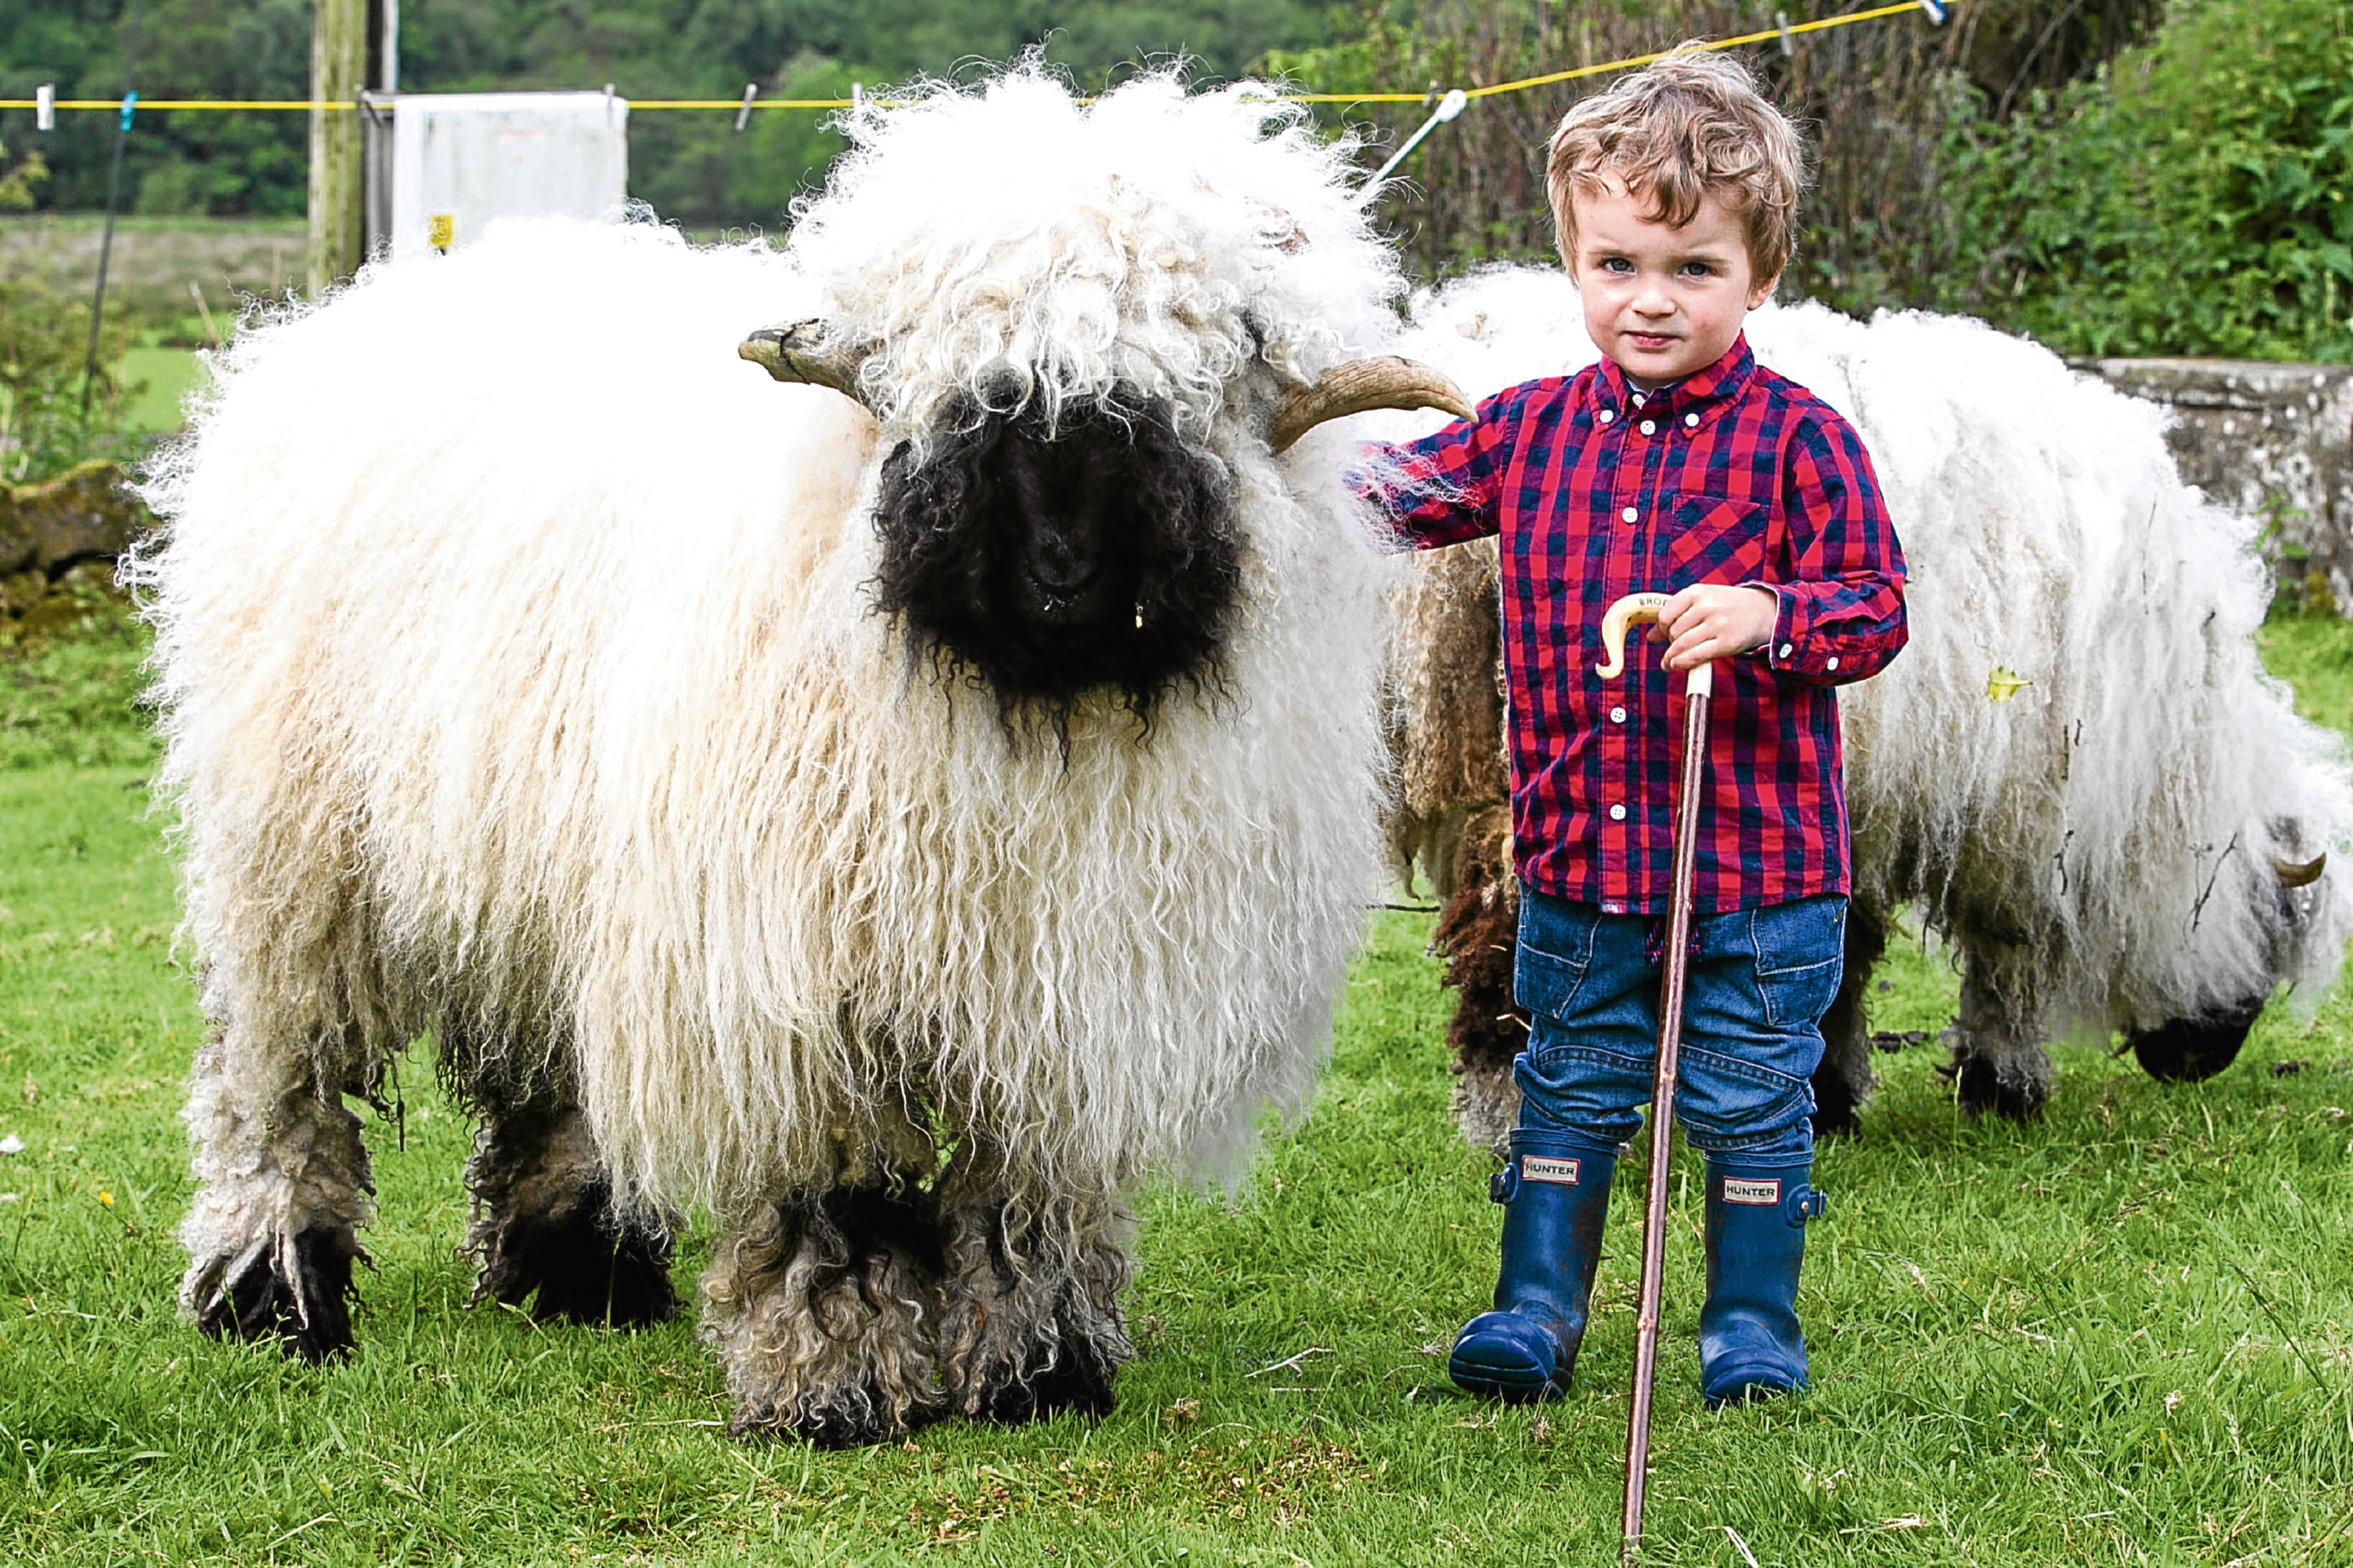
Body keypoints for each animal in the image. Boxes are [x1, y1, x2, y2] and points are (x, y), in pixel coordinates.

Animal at [129, 70, 1459, 1440]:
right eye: (961, 386)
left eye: (1198, 374)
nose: (1060, 569)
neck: (1028, 705)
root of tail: (378, 293)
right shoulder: (798, 975)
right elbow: (837, 1197)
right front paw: (834, 1381)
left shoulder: (1050, 988)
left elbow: (1026, 1195)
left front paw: (1035, 1371)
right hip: (297, 858)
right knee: (271, 1079)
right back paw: (273, 1291)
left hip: (535, 850)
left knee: (548, 1065)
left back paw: (579, 1272)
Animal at [1374, 268, 2353, 1144]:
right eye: (2278, 929)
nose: (2202, 1059)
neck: (2178, 764)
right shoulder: (2026, 819)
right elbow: (2008, 961)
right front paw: (2004, 1087)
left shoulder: (1865, 805)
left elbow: (1838, 960)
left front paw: (1828, 1097)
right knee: (1508, 932)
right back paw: (1508, 1114)